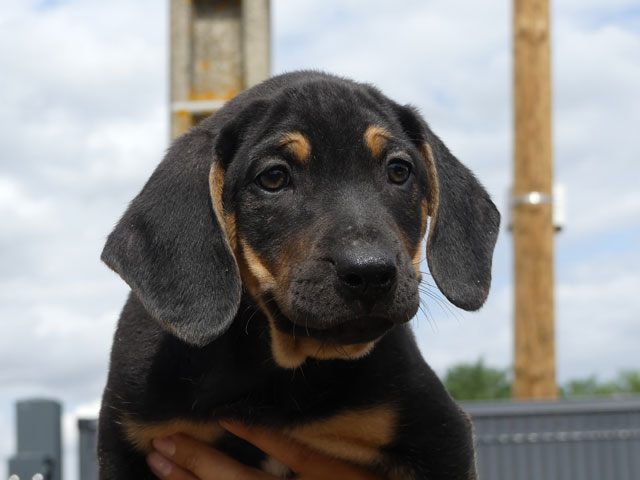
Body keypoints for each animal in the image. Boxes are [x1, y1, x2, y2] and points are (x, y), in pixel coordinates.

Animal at [99, 71, 500, 480]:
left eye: (399, 171)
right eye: (274, 177)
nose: (370, 271)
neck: (279, 369)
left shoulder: (443, 434)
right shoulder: (128, 440)